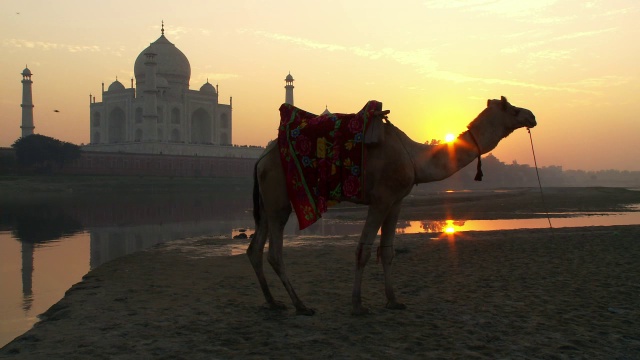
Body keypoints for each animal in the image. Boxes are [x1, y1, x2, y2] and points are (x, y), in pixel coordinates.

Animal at [248, 96, 536, 316]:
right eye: (511, 107)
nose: (531, 115)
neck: (414, 158)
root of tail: (260, 159)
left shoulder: (397, 201)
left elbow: (387, 251)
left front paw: (394, 300)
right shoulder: (381, 199)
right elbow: (363, 250)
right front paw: (357, 305)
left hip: (267, 201)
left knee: (254, 249)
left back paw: (273, 302)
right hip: (279, 198)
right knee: (275, 253)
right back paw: (301, 305)